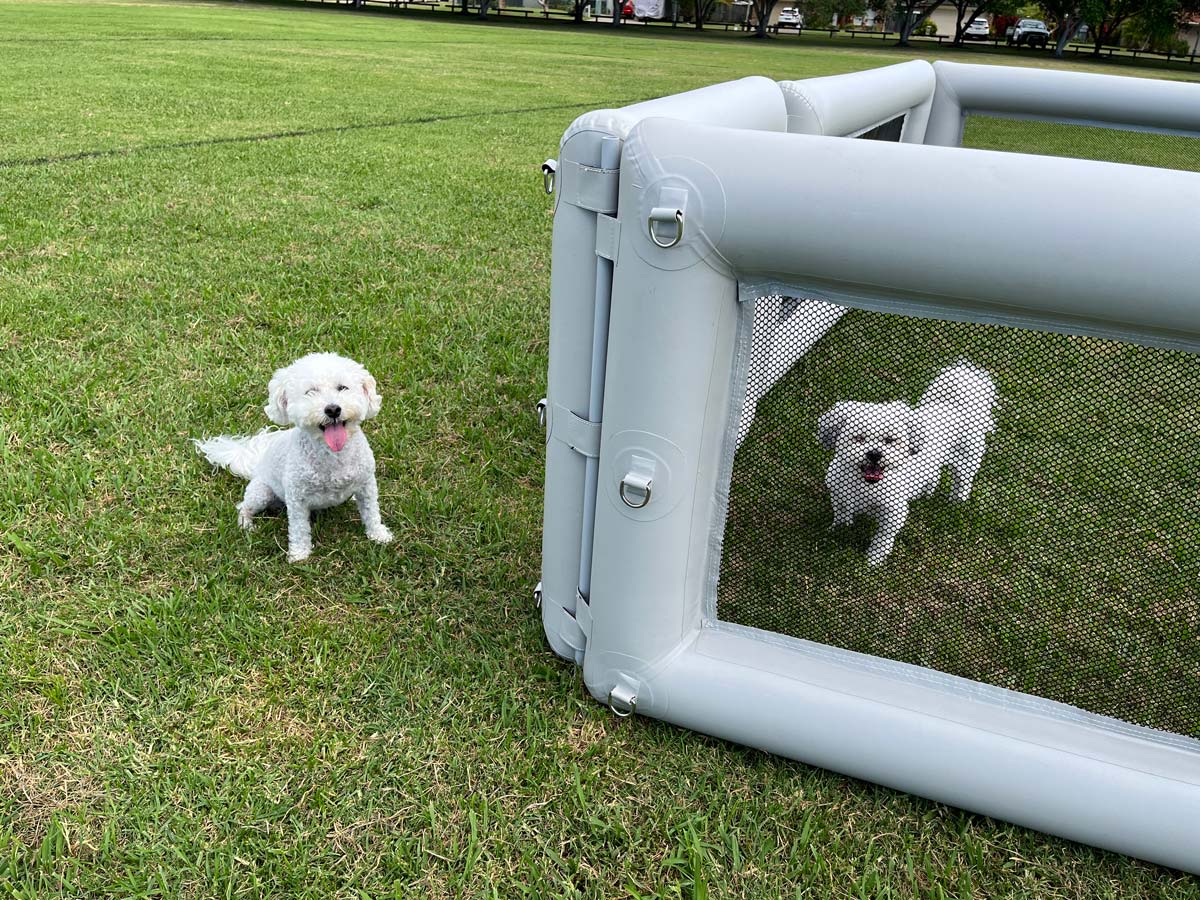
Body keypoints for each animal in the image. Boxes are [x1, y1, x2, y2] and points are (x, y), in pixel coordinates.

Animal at [194, 353, 393, 562]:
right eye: (310, 392)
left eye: (342, 387)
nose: (333, 409)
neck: (332, 455)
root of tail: (257, 465)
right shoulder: (297, 499)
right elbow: (299, 528)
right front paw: (299, 555)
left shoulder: (367, 486)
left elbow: (372, 512)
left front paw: (379, 535)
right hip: (261, 492)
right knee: (243, 507)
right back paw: (246, 525)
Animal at [817, 360, 997, 566]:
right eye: (859, 438)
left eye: (890, 440)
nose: (874, 454)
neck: (866, 484)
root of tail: (957, 406)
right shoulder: (840, 495)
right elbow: (842, 515)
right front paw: (839, 530)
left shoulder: (893, 514)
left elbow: (882, 539)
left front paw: (873, 561)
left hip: (966, 461)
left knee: (962, 482)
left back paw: (957, 502)